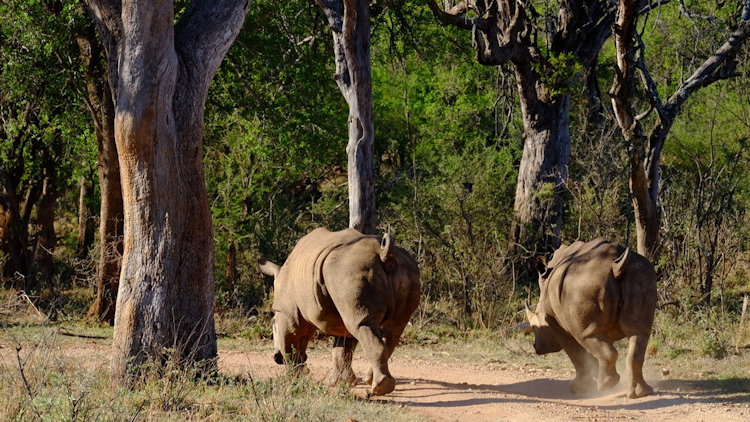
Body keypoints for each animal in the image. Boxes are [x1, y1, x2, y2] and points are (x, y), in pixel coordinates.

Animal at [258, 227, 424, 396]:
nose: (276, 358)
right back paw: (370, 380)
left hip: (351, 270)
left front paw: (293, 377)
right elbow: (342, 347)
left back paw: (379, 388)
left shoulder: (287, 312)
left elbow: (290, 341)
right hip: (404, 271)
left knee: (362, 325)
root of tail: (385, 253)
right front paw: (337, 382)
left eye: (273, 324)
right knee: (392, 328)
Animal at [524, 239, 656, 398]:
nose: (536, 347)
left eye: (536, 325)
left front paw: (580, 389)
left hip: (582, 287)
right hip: (641, 276)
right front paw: (591, 379)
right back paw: (641, 393)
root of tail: (617, 266)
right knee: (639, 332)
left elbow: (577, 354)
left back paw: (606, 385)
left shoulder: (554, 321)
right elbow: (592, 352)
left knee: (586, 335)